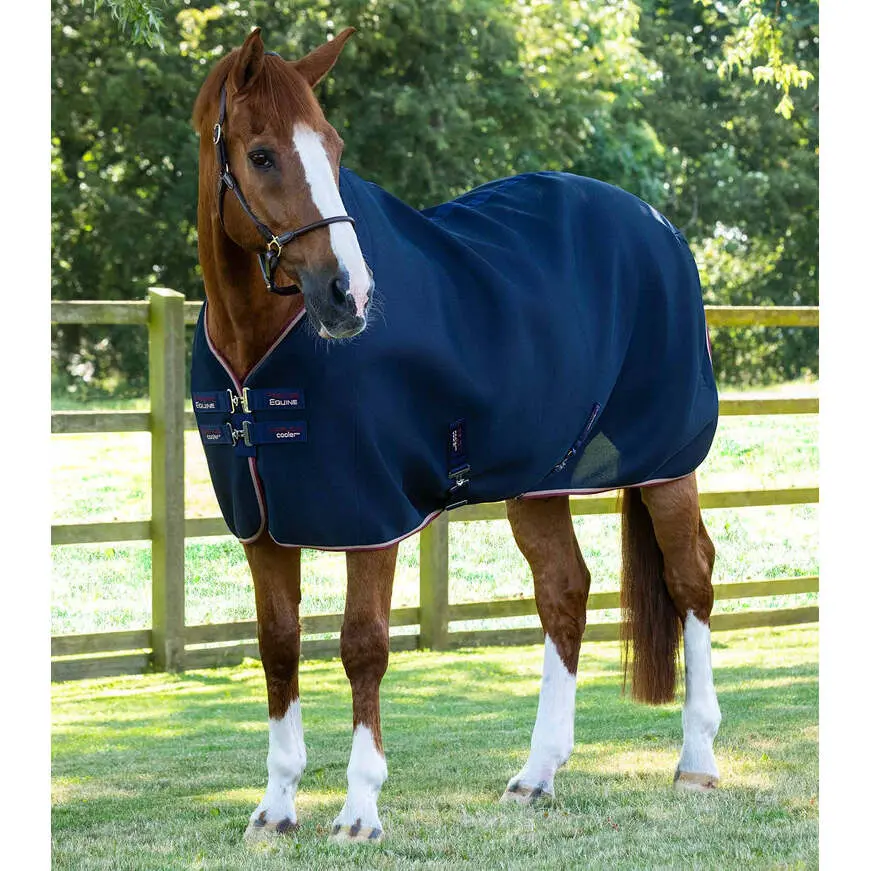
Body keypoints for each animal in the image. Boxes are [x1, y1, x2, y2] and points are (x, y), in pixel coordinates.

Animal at [191, 27, 722, 844]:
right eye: (262, 155)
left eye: (334, 148)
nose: (349, 295)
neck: (259, 349)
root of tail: (656, 224)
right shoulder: (262, 526)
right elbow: (278, 646)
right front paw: (275, 809)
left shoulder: (371, 515)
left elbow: (362, 646)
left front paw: (359, 810)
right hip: (541, 480)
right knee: (564, 591)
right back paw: (536, 775)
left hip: (668, 463)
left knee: (691, 576)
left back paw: (696, 761)